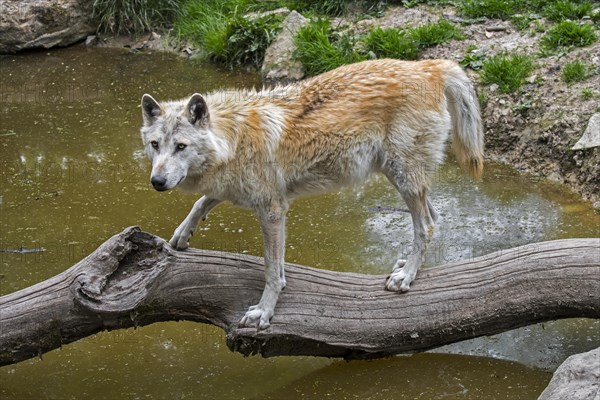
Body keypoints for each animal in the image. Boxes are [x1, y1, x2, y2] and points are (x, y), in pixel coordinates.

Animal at [139, 57, 482, 330]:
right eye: (155, 145)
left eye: (181, 146)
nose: (157, 181)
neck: (233, 139)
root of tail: (428, 65)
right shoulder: (245, 194)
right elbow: (202, 202)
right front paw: (182, 235)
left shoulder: (272, 210)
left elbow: (271, 270)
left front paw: (264, 311)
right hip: (403, 178)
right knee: (433, 218)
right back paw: (409, 267)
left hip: (403, 177)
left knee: (426, 225)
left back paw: (406, 277)